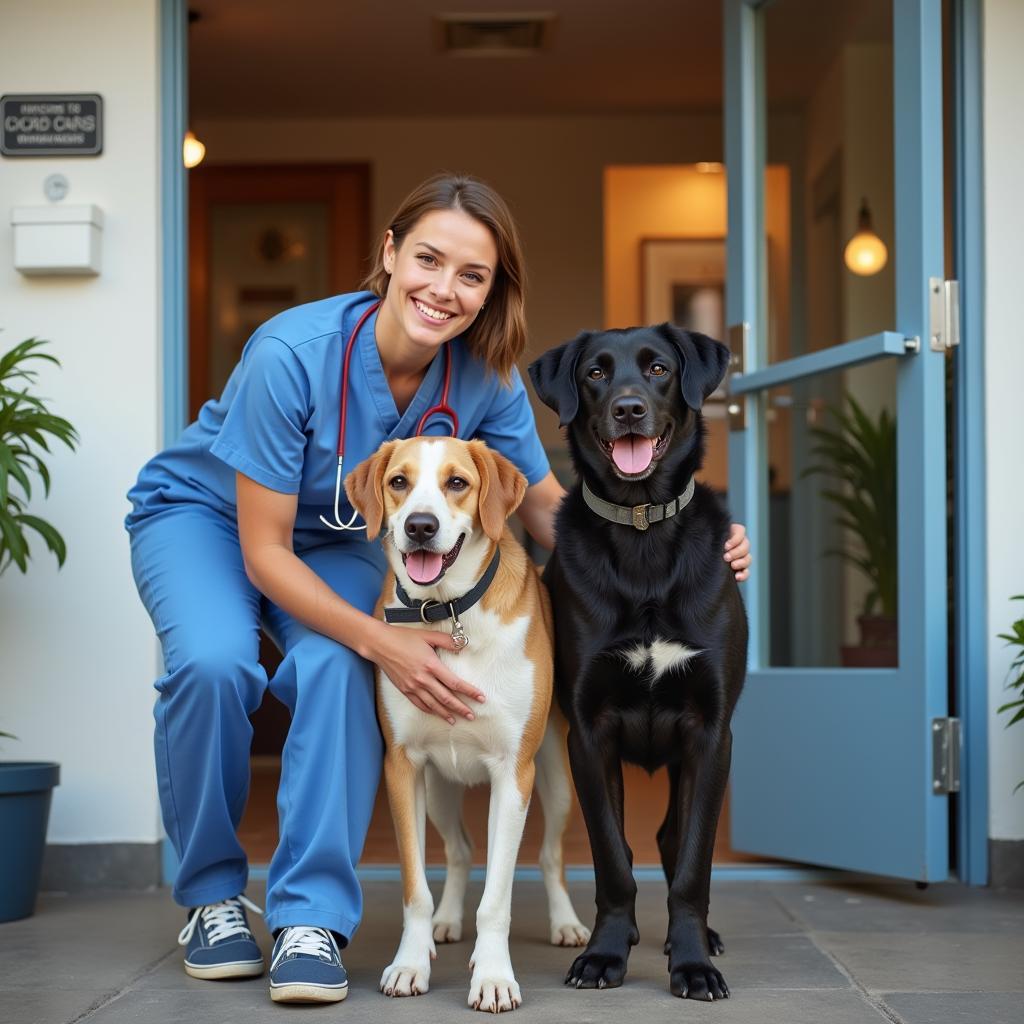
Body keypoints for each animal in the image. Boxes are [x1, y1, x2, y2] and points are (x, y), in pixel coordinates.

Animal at [346, 436, 589, 1011]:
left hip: (555, 781)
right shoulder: (403, 768)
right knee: (459, 851)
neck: (448, 612)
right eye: (399, 482)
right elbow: (416, 887)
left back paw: (565, 923)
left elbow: (497, 898)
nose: (420, 526)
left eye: (457, 482)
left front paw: (494, 977)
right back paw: (447, 919)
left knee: (549, 856)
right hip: (439, 790)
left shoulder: (513, 774)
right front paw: (411, 963)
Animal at [528, 325, 745, 999]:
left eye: (657, 369)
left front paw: (694, 963)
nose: (628, 409)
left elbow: (694, 865)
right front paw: (603, 954)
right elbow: (612, 858)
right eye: (595, 374)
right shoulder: (588, 735)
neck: (642, 525)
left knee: (674, 841)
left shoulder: (710, 733)